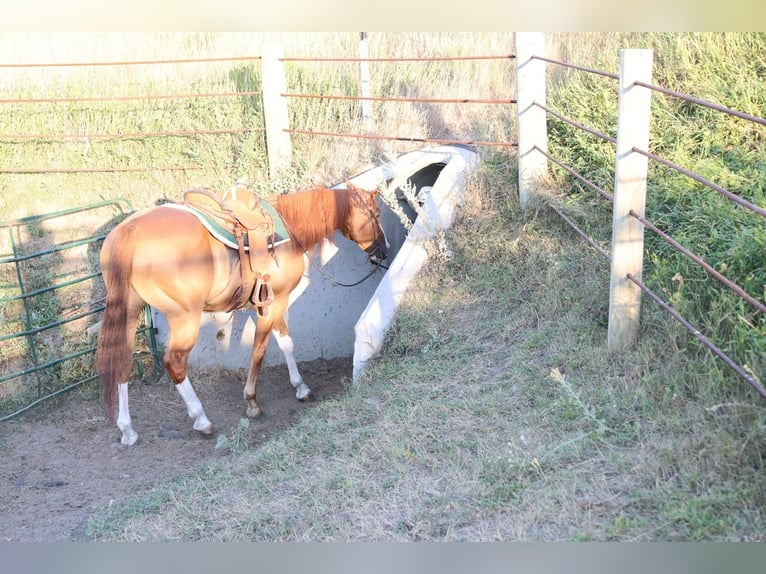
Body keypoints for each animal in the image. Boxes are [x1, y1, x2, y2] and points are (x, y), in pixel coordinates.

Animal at [96, 182, 388, 446]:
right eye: (376, 215)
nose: (384, 250)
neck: (289, 231)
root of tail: (128, 232)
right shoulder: (274, 302)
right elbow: (260, 350)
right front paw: (252, 401)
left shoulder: (275, 303)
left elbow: (285, 342)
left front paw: (301, 387)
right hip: (184, 317)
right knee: (175, 362)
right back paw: (201, 419)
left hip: (129, 312)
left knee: (122, 361)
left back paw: (127, 430)